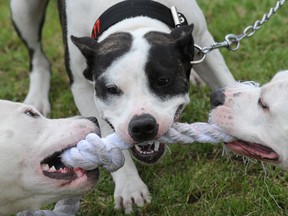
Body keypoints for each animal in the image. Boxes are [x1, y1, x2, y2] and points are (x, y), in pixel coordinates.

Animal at [10, 0, 236, 213]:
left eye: (163, 81)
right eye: (111, 89)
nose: (142, 125)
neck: (131, 13)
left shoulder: (204, 42)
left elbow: (226, 82)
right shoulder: (82, 86)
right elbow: (106, 140)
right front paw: (130, 187)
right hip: (23, 9)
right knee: (37, 57)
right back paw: (36, 97)